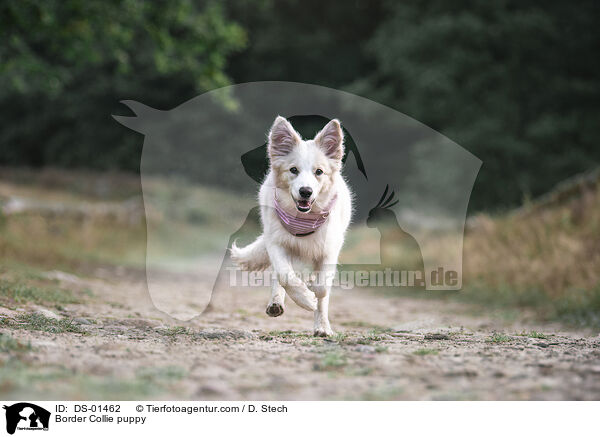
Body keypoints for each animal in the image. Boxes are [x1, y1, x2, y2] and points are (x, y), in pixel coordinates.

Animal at [230, 115, 352, 334]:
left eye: (319, 172)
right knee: (279, 276)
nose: (306, 191)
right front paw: (306, 299)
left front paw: (317, 309)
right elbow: (285, 275)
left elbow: (322, 289)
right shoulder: (276, 243)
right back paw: (276, 303)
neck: (303, 220)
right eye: (293, 170)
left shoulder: (330, 250)